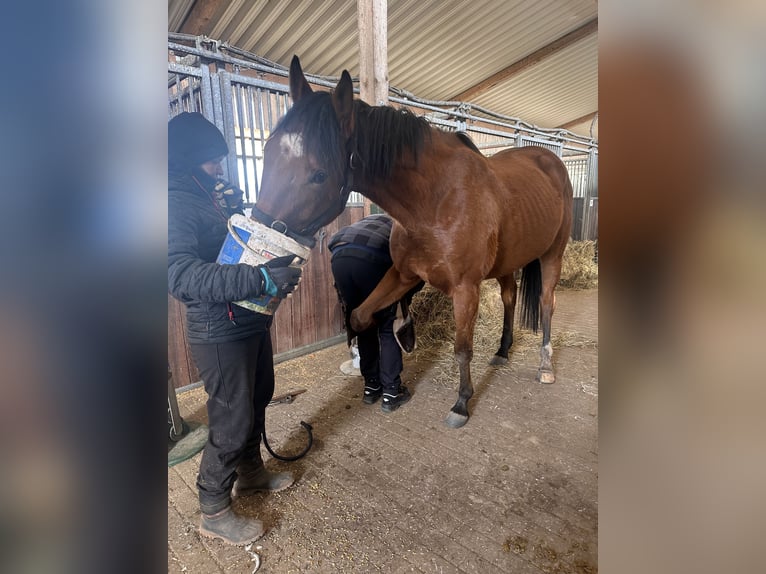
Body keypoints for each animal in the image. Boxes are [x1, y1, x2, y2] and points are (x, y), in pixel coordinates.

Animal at [255, 57, 572, 428]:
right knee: (510, 297)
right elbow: (361, 316)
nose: (262, 241)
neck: (434, 202)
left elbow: (462, 348)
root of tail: (550, 161)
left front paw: (461, 403)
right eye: (267, 151)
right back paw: (502, 351)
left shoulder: (466, 289)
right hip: (507, 262)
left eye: (319, 174)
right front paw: (381, 369)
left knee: (547, 303)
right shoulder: (403, 275)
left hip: (553, 255)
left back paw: (545, 366)